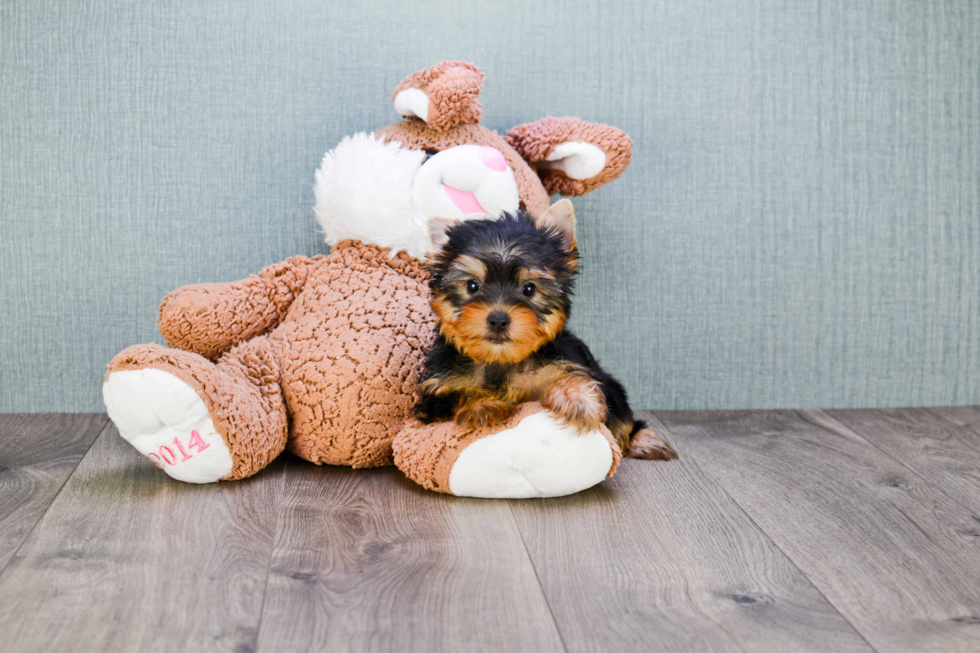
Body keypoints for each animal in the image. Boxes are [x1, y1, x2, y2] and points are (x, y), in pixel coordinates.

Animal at [412, 201, 672, 460]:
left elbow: (570, 377)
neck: (501, 360)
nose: (498, 320)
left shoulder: (561, 363)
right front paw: (484, 405)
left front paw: (577, 399)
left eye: (529, 289)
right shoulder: (437, 392)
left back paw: (642, 440)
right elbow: (459, 393)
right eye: (472, 286)